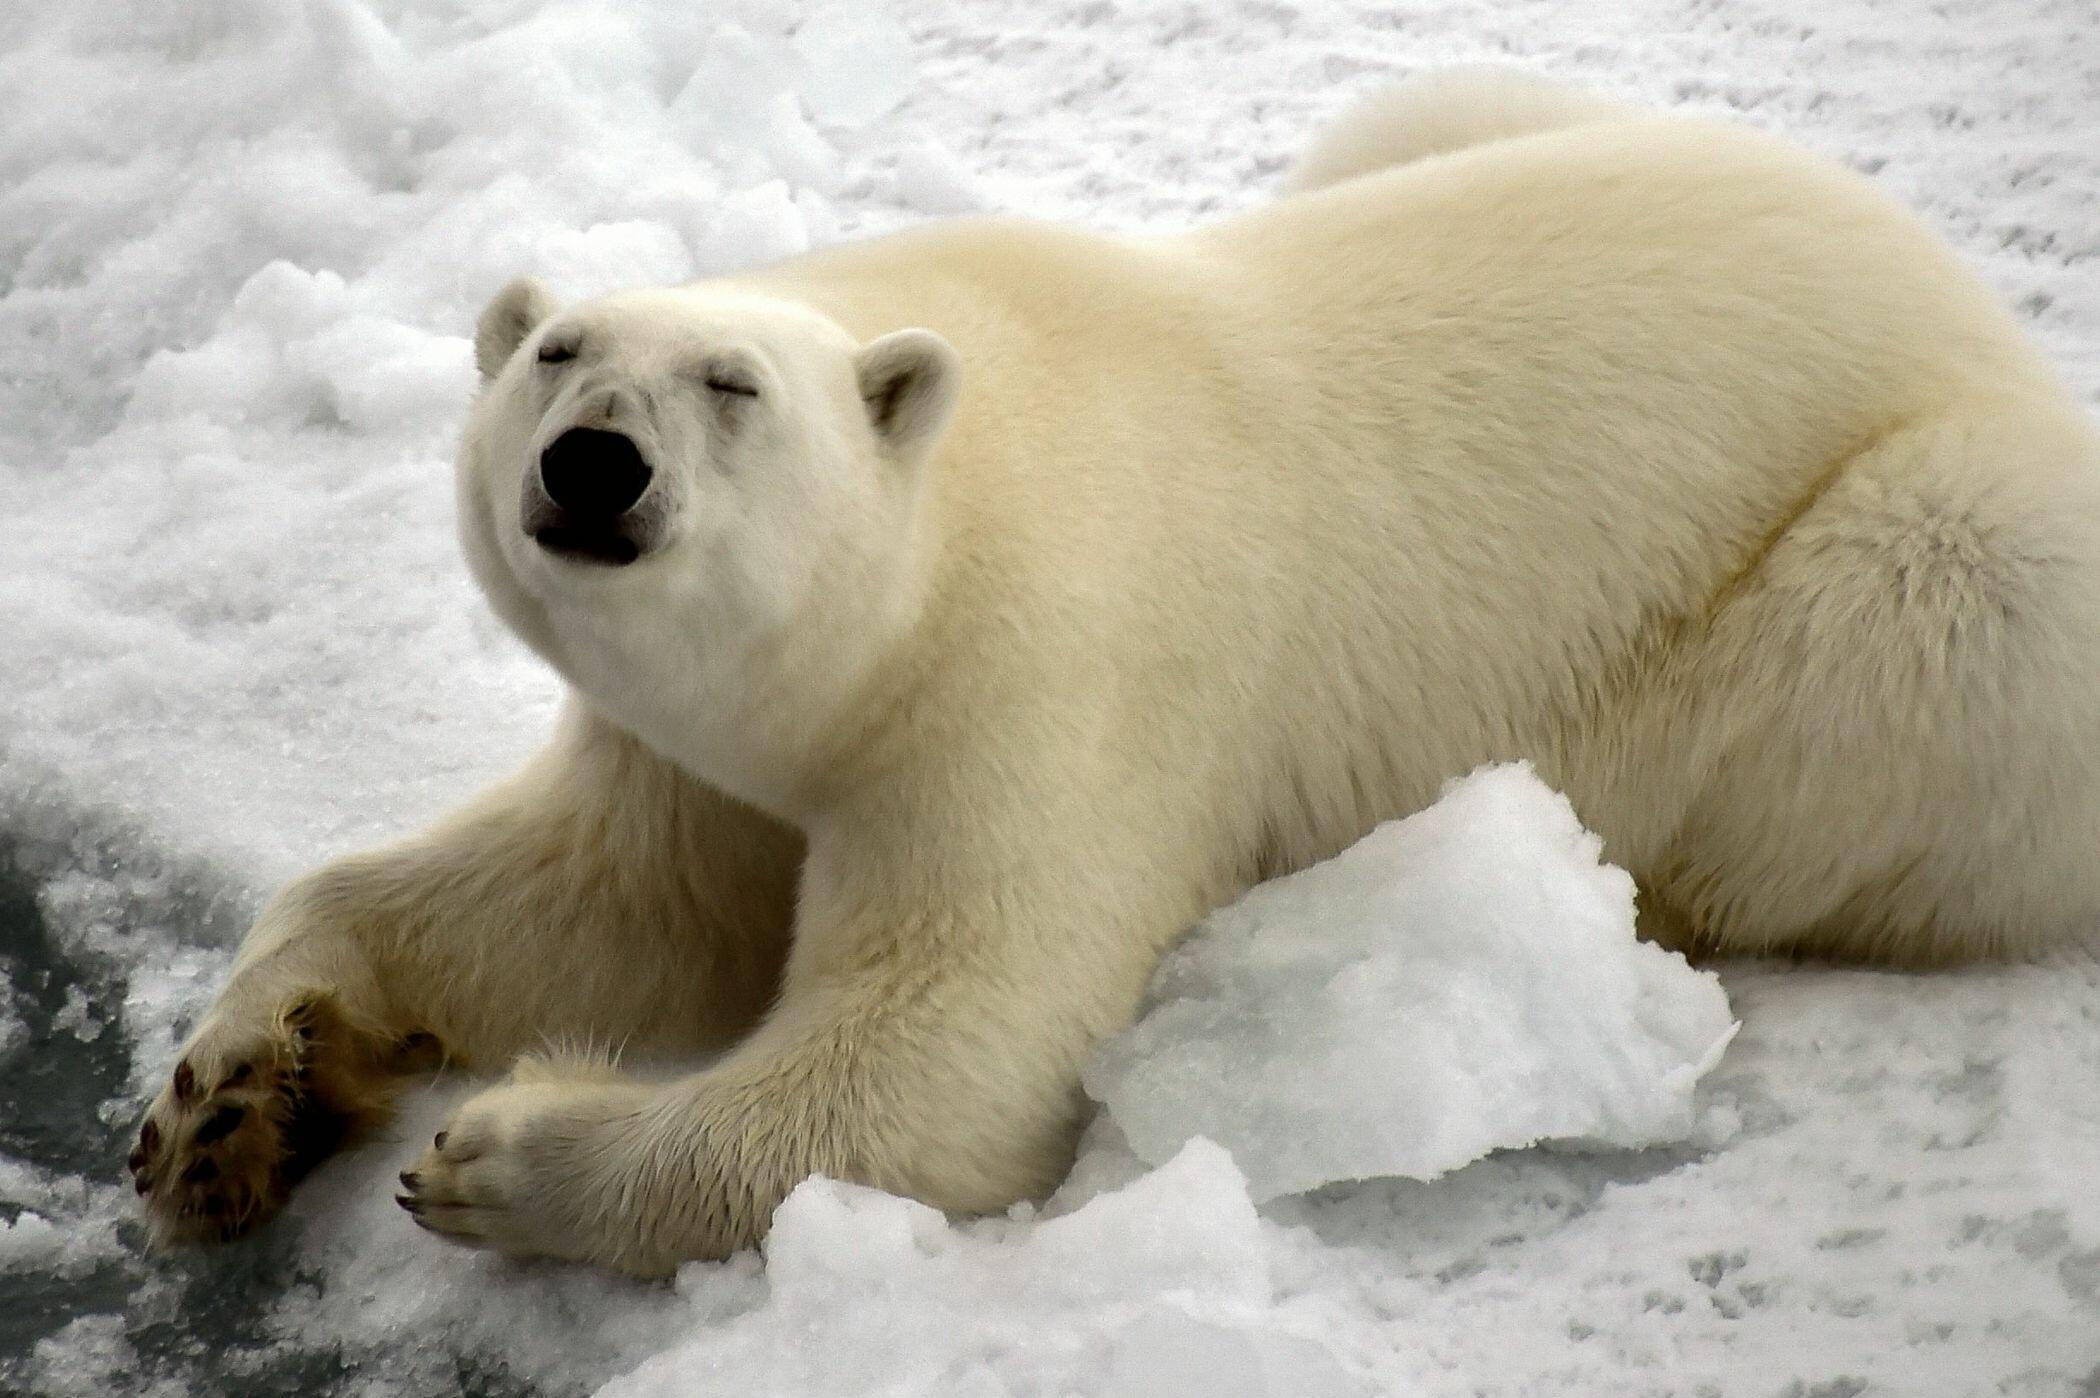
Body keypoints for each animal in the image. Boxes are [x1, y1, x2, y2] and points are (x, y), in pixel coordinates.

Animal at [127, 70, 2100, 1267]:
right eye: (556, 351)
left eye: (730, 384)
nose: (594, 465)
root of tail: (1964, 293)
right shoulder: (704, 743)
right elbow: (591, 898)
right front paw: (227, 1093)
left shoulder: (1042, 680)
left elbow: (931, 1061)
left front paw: (496, 1152)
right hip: (1452, 119)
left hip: (1916, 559)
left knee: (1916, 630)